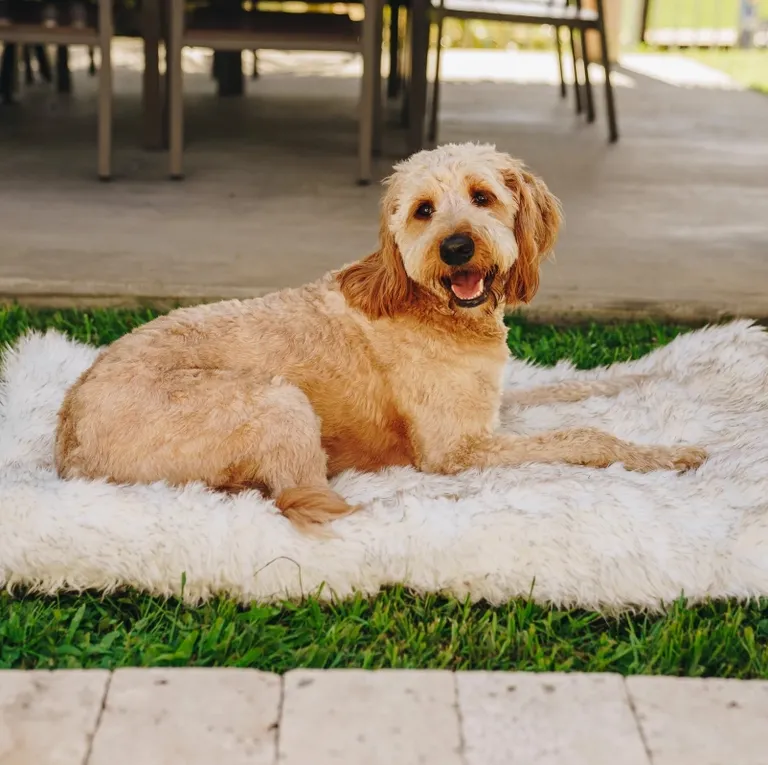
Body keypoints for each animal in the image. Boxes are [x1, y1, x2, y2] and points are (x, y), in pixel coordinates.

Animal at [55, 143, 708, 524]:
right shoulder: (456, 448)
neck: (433, 307)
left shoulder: (491, 403)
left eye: (482, 196)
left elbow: (568, 389)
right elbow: (585, 436)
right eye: (423, 210)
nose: (456, 247)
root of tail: (67, 448)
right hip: (278, 401)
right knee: (308, 499)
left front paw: (642, 377)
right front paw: (666, 455)